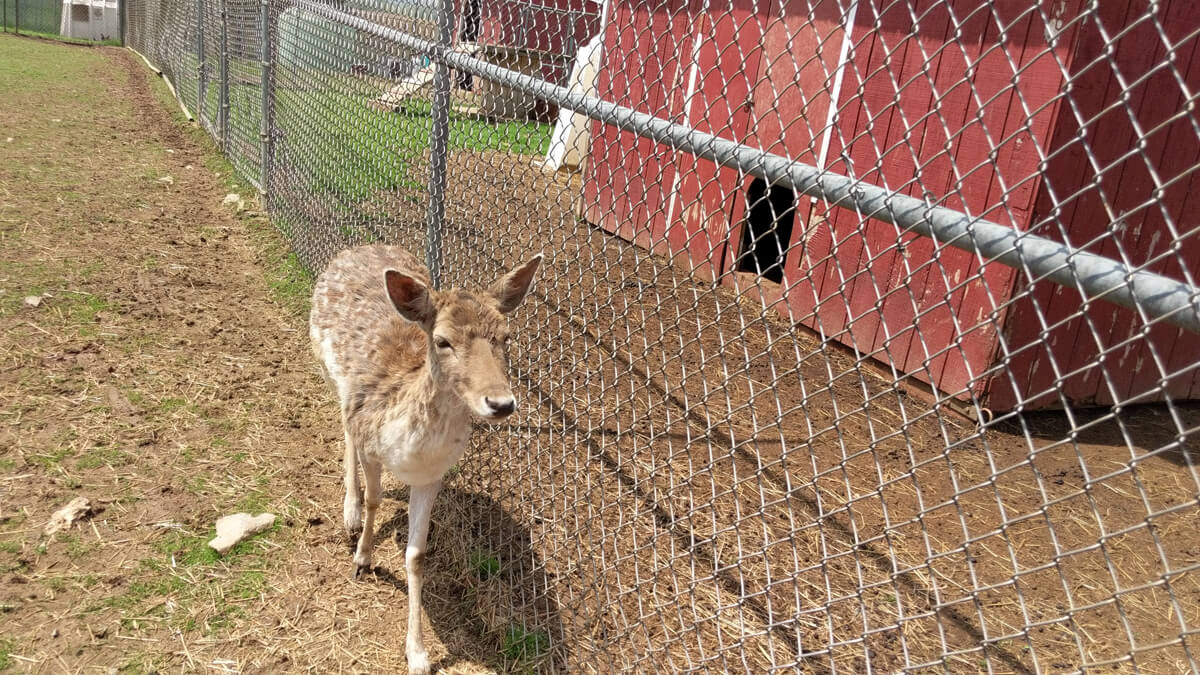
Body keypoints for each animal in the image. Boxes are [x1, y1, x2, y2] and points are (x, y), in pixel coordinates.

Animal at [307, 240, 542, 667]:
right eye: (443, 340)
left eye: (506, 336)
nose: (501, 403)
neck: (408, 449)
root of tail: (362, 246)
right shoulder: (369, 436)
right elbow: (375, 498)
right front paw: (362, 559)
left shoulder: (433, 475)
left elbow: (416, 555)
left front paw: (417, 654)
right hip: (324, 364)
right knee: (344, 425)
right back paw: (349, 513)